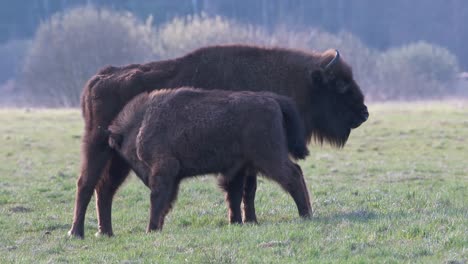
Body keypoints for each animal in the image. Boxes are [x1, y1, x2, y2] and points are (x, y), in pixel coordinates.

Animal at [106, 87, 310, 231]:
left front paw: (151, 229)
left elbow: (158, 199)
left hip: (269, 158)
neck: (141, 124)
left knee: (293, 175)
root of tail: (273, 100)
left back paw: (305, 214)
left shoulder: (164, 170)